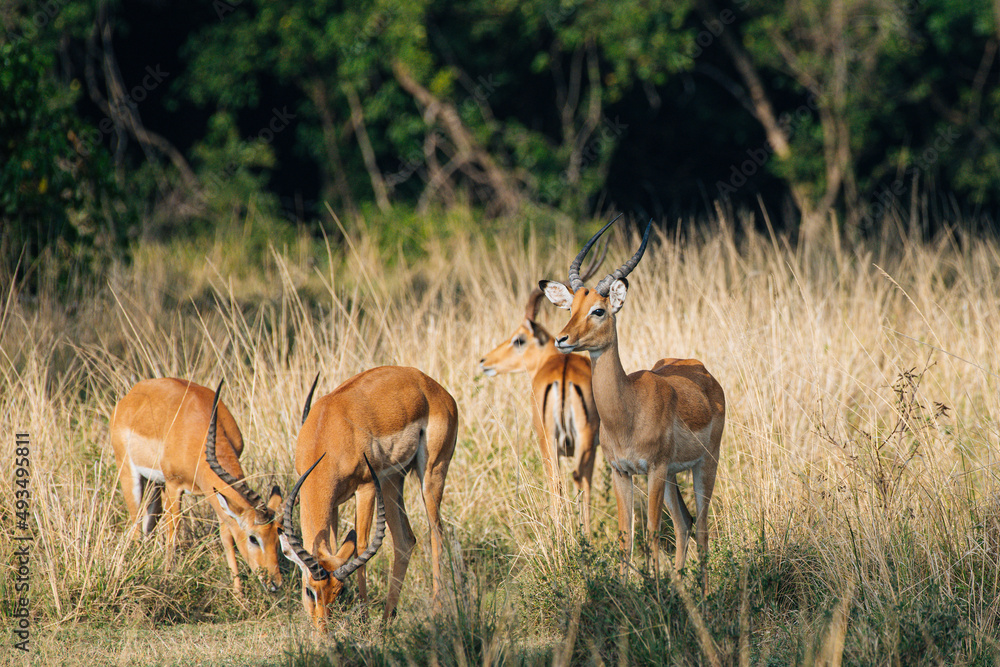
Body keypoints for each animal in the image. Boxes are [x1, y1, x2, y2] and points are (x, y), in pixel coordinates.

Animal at [110, 378, 284, 594]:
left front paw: (238, 594)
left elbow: (227, 536)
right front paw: (168, 578)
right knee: (136, 524)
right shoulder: (174, 485)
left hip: (155, 485)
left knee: (147, 524)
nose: (275, 584)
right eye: (253, 538)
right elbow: (173, 533)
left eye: (277, 535)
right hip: (130, 475)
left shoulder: (215, 493)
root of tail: (129, 396)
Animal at [280, 366, 458, 628]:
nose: (323, 630)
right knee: (405, 540)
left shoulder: (365, 487)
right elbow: (335, 545)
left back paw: (436, 613)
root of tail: (434, 387)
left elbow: (361, 547)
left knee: (437, 535)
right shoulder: (333, 502)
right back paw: (386, 620)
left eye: (338, 592)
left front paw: (363, 620)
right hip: (391, 480)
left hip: (431, 475)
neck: (326, 431)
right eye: (309, 591)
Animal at [477, 239, 608, 533]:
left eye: (518, 339)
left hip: (554, 443)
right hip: (573, 443)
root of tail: (564, 375)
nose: (484, 361)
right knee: (573, 481)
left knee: (563, 482)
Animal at [540, 218, 725, 588]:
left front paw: (652, 589)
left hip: (703, 465)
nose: (562, 339)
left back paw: (703, 591)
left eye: (599, 310)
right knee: (683, 524)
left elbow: (651, 532)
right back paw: (680, 585)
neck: (628, 410)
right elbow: (626, 535)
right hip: (672, 476)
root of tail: (703, 372)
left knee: (700, 525)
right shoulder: (621, 471)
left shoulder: (653, 468)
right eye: (571, 308)